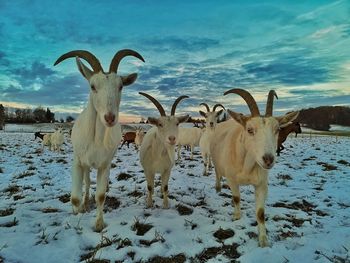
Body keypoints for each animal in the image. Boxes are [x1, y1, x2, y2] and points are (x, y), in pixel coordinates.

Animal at [211, 89, 298, 249]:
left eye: (277, 129)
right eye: (250, 130)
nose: (268, 159)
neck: (247, 165)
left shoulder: (261, 184)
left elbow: (260, 213)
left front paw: (263, 240)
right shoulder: (232, 179)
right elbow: (237, 198)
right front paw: (237, 216)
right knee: (217, 173)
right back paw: (218, 187)